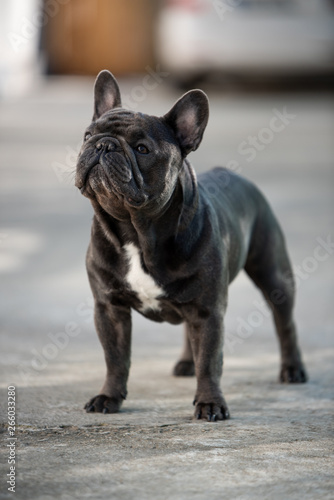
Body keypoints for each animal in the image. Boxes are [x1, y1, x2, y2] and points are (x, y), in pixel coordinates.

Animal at [75, 70, 308, 422]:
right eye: (87, 135)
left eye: (142, 148)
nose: (103, 144)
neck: (136, 231)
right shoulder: (109, 308)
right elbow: (115, 358)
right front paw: (108, 397)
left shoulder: (207, 311)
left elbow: (210, 361)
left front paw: (210, 403)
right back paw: (187, 362)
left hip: (274, 275)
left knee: (286, 323)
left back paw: (293, 369)